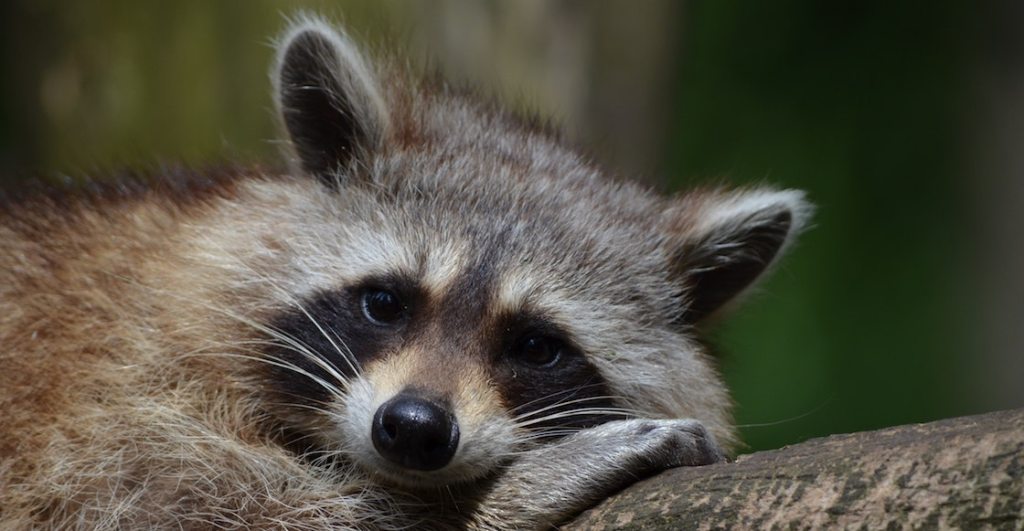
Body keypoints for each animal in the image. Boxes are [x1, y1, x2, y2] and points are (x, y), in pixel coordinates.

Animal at [0, 14, 811, 527]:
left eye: (537, 346)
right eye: (385, 302)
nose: (414, 429)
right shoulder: (106, 401)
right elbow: (193, 505)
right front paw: (488, 499)